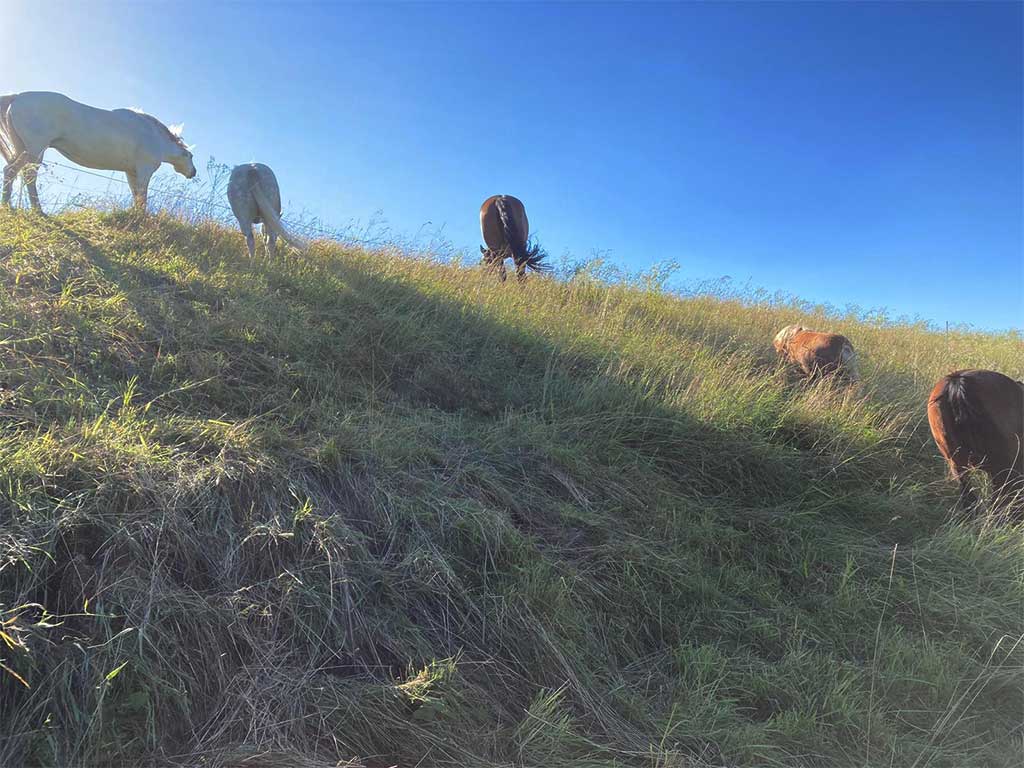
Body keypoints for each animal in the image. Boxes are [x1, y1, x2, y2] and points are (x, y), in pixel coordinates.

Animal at [0, 91, 195, 214]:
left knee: (12, 171)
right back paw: (37, 210)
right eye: (190, 157)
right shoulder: (144, 171)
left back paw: (8, 204)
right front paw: (141, 217)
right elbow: (142, 196)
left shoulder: (131, 172)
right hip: (34, 150)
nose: (193, 172)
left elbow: (136, 195)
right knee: (26, 175)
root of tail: (17, 97)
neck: (154, 136)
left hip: (24, 149)